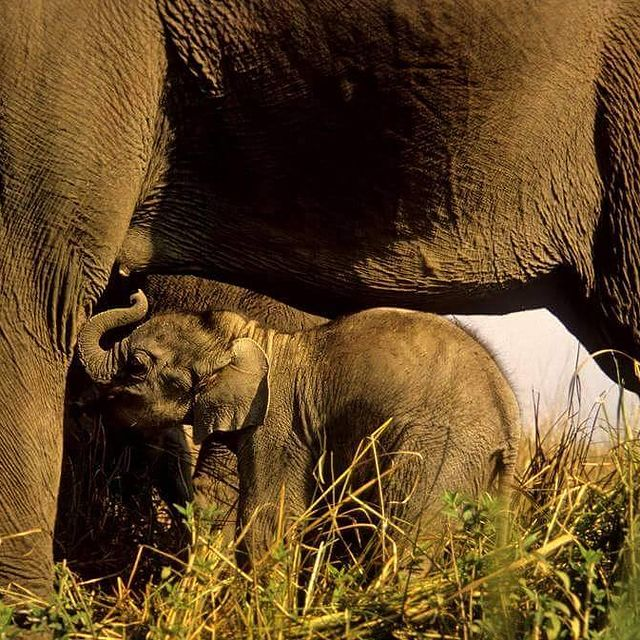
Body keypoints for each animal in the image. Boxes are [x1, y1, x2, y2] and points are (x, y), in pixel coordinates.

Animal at [77, 291, 521, 570]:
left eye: (137, 366)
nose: (135, 293)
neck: (259, 338)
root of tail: (510, 423)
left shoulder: (279, 424)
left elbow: (266, 517)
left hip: (440, 453)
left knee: (405, 542)